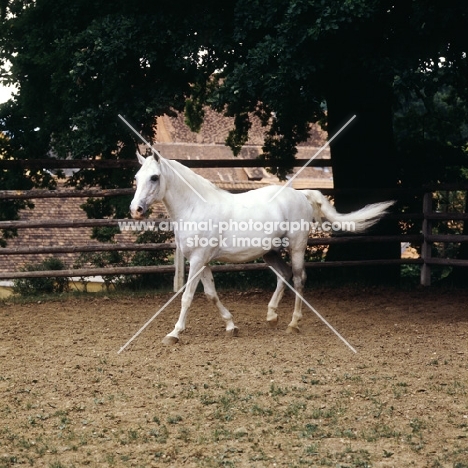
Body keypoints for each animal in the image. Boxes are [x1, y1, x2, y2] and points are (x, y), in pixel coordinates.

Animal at [130, 152, 394, 346]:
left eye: (154, 177)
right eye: (137, 177)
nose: (136, 210)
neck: (196, 208)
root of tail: (301, 195)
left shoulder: (197, 260)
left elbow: (187, 297)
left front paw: (174, 334)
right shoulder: (202, 261)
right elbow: (211, 294)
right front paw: (231, 326)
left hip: (297, 246)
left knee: (298, 279)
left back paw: (293, 324)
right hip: (270, 252)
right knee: (284, 275)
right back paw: (271, 316)